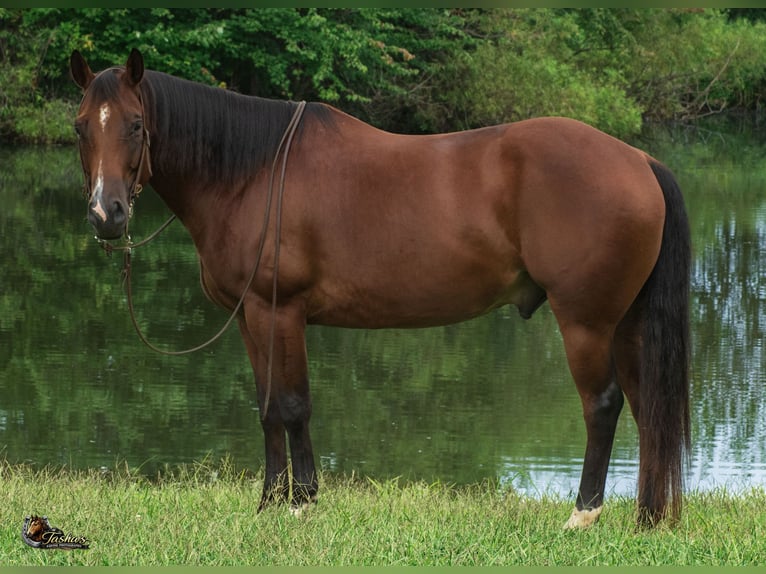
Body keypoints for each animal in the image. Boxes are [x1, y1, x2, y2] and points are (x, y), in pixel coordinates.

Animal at [70, 48, 691, 528]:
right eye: (80, 127)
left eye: (135, 124)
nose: (106, 214)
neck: (254, 172)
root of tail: (639, 159)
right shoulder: (250, 315)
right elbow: (268, 407)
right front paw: (269, 503)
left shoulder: (280, 311)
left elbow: (293, 405)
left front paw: (301, 504)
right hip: (626, 322)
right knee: (645, 407)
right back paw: (647, 517)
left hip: (586, 321)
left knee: (603, 405)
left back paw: (583, 515)